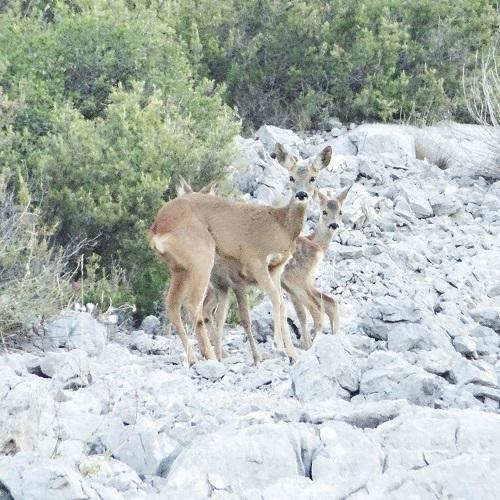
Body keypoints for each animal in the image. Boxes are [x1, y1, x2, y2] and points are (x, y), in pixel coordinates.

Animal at [147, 143, 332, 366]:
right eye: (291, 177)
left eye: (313, 177)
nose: (302, 195)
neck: (280, 225)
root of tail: (158, 228)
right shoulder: (256, 261)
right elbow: (275, 300)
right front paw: (279, 347)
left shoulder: (276, 268)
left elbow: (280, 303)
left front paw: (292, 354)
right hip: (201, 258)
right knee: (192, 305)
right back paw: (210, 357)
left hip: (179, 268)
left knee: (173, 305)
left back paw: (194, 359)